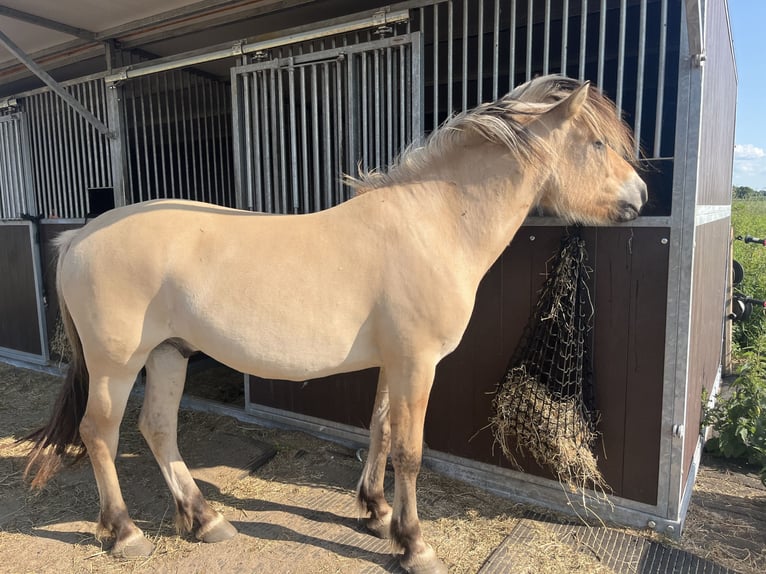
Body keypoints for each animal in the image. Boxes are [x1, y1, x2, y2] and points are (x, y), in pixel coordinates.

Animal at [22, 75, 646, 574]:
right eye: (596, 143)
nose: (641, 195)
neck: (434, 224)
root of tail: (79, 236)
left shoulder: (394, 363)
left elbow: (380, 431)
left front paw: (376, 512)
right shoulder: (417, 363)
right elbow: (410, 451)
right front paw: (414, 544)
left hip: (168, 354)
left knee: (156, 429)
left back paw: (204, 519)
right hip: (117, 365)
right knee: (99, 434)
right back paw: (125, 533)